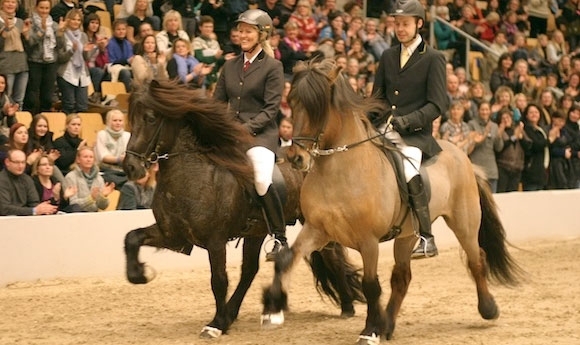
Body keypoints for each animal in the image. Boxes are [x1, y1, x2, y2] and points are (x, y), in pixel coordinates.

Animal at [124, 79, 364, 338]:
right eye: (130, 117)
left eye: (150, 118)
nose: (130, 167)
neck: (192, 175)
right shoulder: (172, 234)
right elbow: (131, 238)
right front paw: (142, 274)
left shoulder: (215, 240)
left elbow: (218, 280)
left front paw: (215, 324)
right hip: (257, 232)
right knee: (250, 270)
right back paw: (234, 313)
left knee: (332, 256)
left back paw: (347, 307)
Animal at [260, 59, 524, 342]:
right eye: (292, 102)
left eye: (318, 107)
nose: (296, 158)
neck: (339, 171)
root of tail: (461, 154)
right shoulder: (318, 230)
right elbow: (286, 259)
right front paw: (271, 307)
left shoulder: (368, 241)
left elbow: (370, 285)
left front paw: (369, 331)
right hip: (407, 234)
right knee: (402, 277)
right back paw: (387, 324)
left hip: (464, 223)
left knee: (476, 260)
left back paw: (488, 308)